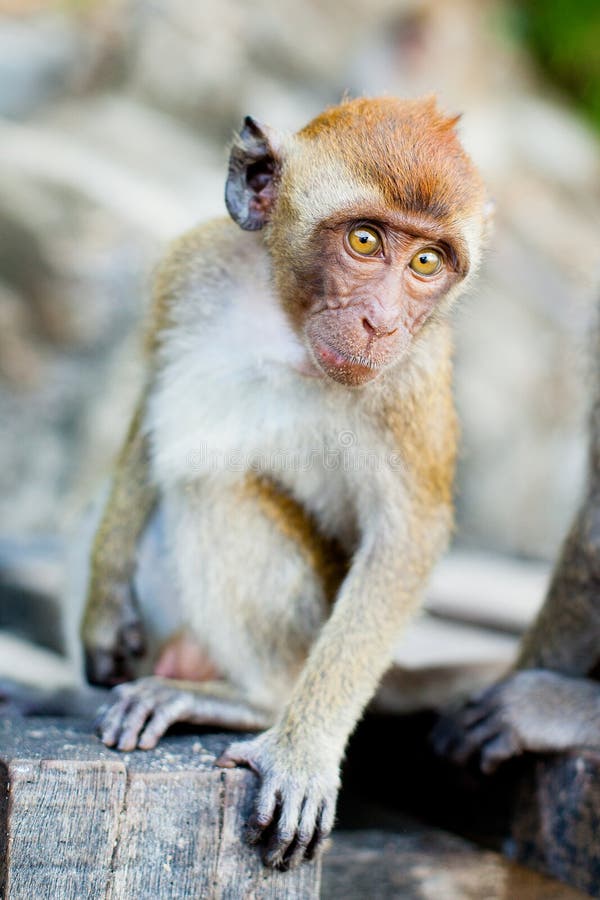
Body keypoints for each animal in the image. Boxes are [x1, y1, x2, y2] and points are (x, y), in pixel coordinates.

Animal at [80, 96, 489, 869]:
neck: (285, 322)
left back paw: (254, 702)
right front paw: (102, 614)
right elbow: (151, 411)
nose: (382, 322)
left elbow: (407, 536)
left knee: (213, 489)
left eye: (426, 261)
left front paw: (303, 753)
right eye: (364, 240)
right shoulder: (192, 267)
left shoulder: (411, 377)